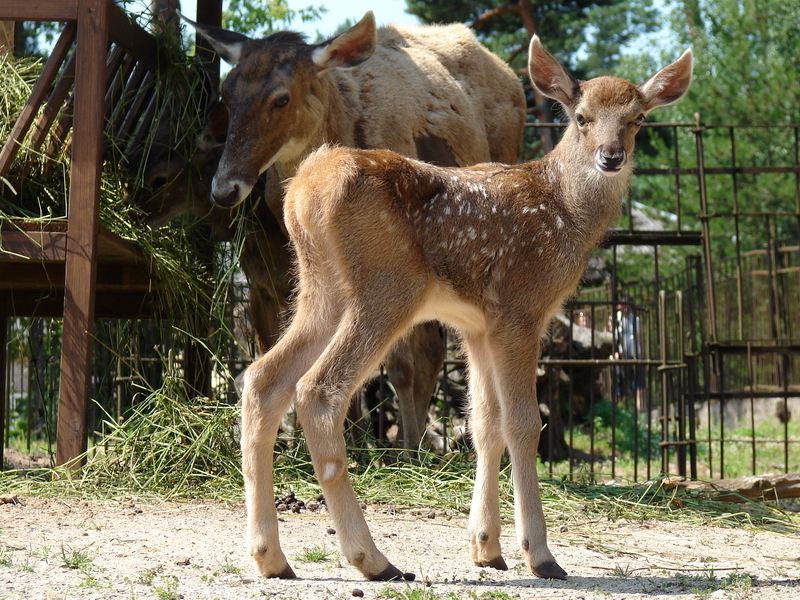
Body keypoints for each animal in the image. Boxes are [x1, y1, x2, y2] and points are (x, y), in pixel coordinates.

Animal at [162, 10, 527, 449]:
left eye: (282, 98)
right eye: (227, 95)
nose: (224, 188)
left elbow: (397, 362)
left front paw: (396, 448)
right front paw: (344, 443)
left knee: (433, 351)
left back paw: (423, 444)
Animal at [238, 36, 692, 582]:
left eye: (638, 118)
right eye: (580, 117)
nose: (612, 155)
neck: (566, 211)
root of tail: (303, 189)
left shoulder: (477, 325)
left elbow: (483, 424)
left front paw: (486, 548)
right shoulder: (521, 309)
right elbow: (523, 423)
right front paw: (539, 554)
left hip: (320, 290)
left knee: (263, 379)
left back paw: (271, 556)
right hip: (386, 288)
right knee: (319, 390)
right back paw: (373, 559)